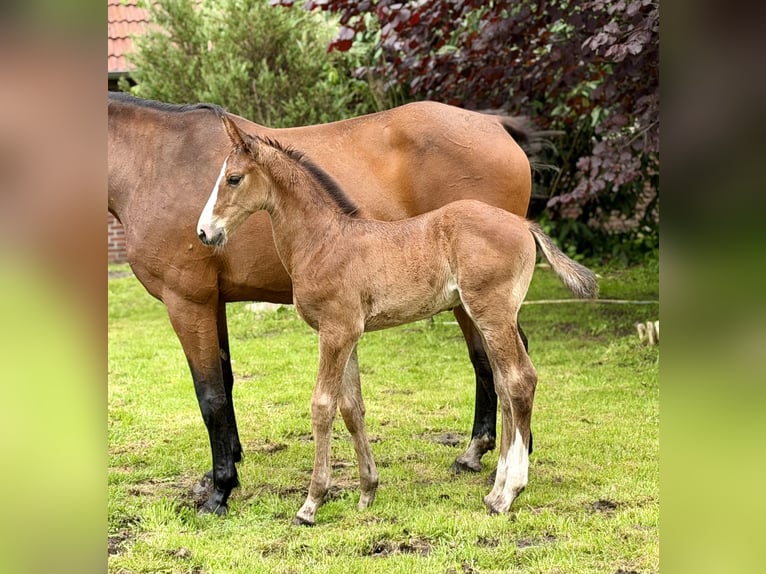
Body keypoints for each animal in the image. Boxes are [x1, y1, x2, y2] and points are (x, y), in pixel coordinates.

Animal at [108, 91, 547, 515]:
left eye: (233, 179)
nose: (204, 232)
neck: (153, 162)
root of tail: (495, 124)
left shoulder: (187, 300)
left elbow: (212, 395)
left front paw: (221, 491)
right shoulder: (214, 301)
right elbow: (229, 382)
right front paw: (229, 466)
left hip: (476, 304)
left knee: (501, 366)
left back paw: (495, 463)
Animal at [196, 114, 597, 525]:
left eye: (233, 178)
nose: (205, 232)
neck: (324, 240)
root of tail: (524, 224)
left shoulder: (335, 332)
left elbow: (322, 406)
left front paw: (311, 503)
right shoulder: (348, 334)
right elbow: (352, 408)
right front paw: (367, 491)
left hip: (493, 313)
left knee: (519, 381)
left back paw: (507, 492)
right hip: (487, 316)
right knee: (504, 383)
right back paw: (496, 487)